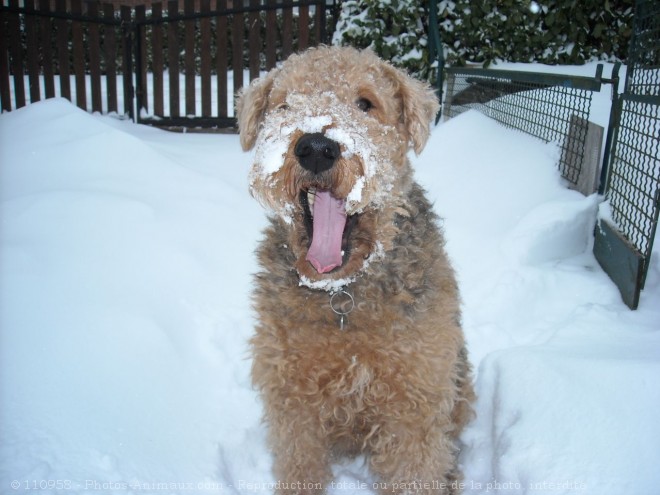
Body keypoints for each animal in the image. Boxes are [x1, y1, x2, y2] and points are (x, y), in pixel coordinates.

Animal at [237, 45, 474, 492]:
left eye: (366, 103)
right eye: (285, 103)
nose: (315, 147)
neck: (342, 295)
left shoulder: (413, 404)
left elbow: (416, 471)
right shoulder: (294, 402)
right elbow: (300, 468)